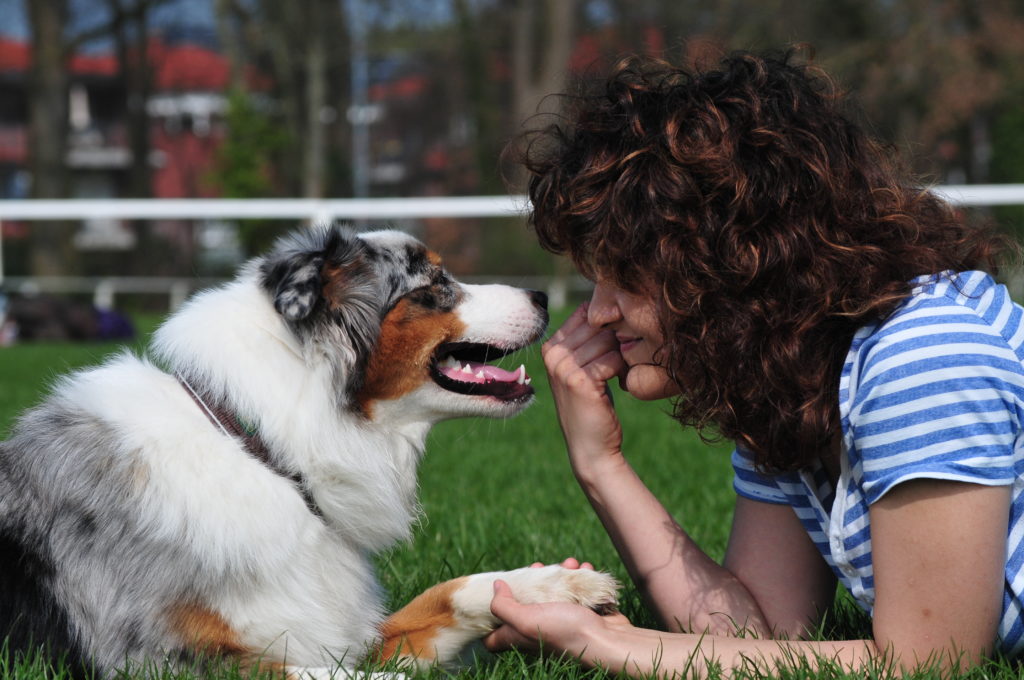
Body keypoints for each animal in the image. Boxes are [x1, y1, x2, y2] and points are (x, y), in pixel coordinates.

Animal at [0, 228, 614, 680]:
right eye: (436, 283)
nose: (542, 296)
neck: (261, 452)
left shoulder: (340, 632)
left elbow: (447, 593)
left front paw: (556, 588)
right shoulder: (160, 659)